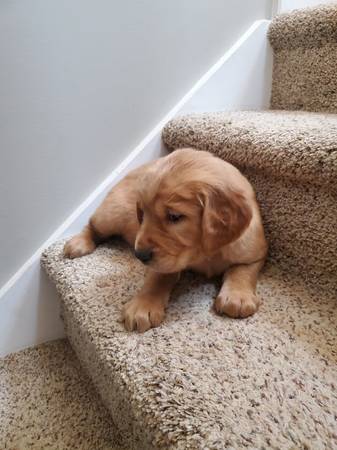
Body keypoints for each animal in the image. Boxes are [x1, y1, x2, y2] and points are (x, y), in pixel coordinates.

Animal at [64, 148, 266, 330]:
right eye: (142, 214)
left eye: (174, 217)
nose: (139, 255)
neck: (203, 253)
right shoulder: (162, 263)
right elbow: (156, 279)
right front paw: (143, 306)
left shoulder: (255, 252)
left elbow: (242, 271)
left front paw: (237, 297)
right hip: (111, 214)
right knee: (92, 225)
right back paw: (78, 243)